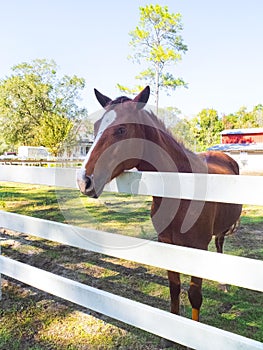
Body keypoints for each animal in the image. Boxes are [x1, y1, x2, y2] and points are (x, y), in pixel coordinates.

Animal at [77, 87, 243, 322]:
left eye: (121, 130)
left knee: (220, 245)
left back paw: (223, 283)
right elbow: (174, 289)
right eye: (95, 127)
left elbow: (195, 296)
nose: (83, 180)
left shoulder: (198, 248)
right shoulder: (167, 243)